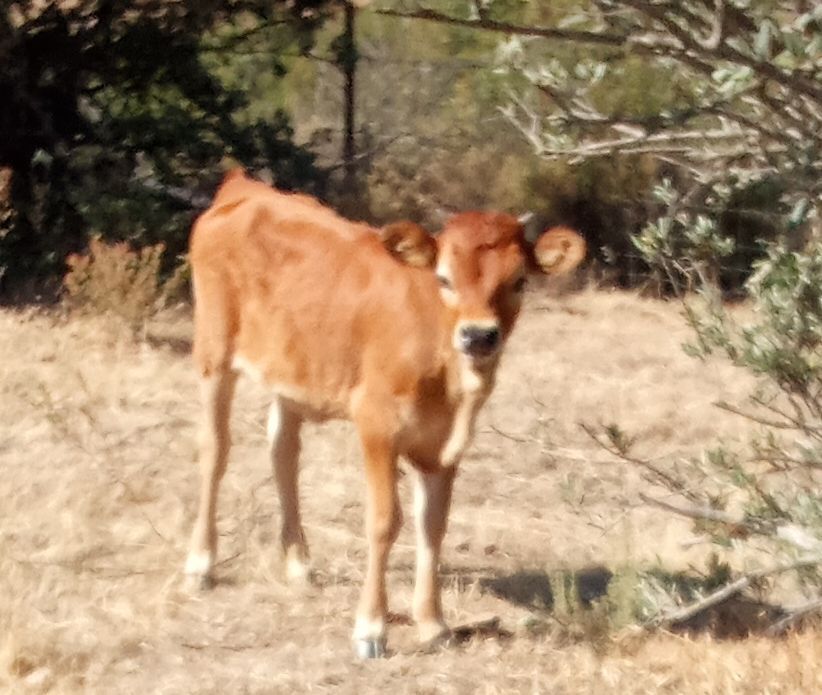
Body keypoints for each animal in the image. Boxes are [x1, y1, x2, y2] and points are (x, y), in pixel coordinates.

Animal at [184, 169, 585, 658]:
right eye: (444, 279)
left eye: (519, 281)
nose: (478, 336)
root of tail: (244, 188)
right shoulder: (377, 425)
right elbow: (384, 521)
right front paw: (371, 628)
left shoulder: (442, 444)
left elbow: (433, 525)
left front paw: (433, 622)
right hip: (213, 352)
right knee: (215, 451)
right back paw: (201, 564)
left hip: (294, 372)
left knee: (283, 453)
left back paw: (298, 562)